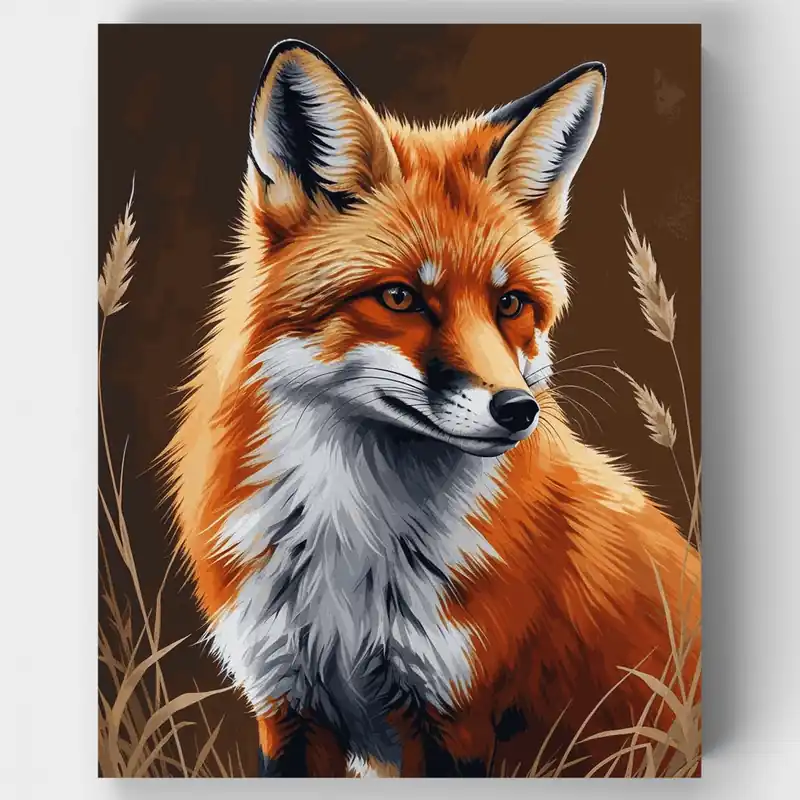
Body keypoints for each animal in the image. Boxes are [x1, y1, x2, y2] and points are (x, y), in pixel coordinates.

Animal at [164, 39, 701, 778]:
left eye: (511, 303)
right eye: (401, 298)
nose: (518, 410)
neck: (351, 545)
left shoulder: (454, 716)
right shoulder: (289, 703)